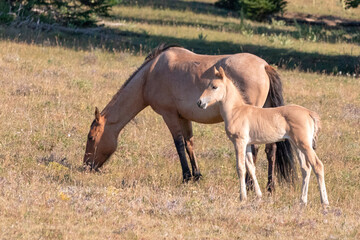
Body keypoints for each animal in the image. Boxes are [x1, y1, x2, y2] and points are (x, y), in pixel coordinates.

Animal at [84, 43, 296, 189]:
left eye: (91, 138)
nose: (86, 166)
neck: (149, 75)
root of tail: (264, 66)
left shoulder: (169, 114)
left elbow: (178, 144)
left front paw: (186, 176)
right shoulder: (184, 117)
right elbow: (189, 144)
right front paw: (196, 175)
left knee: (253, 148)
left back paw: (249, 185)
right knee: (270, 149)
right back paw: (269, 186)